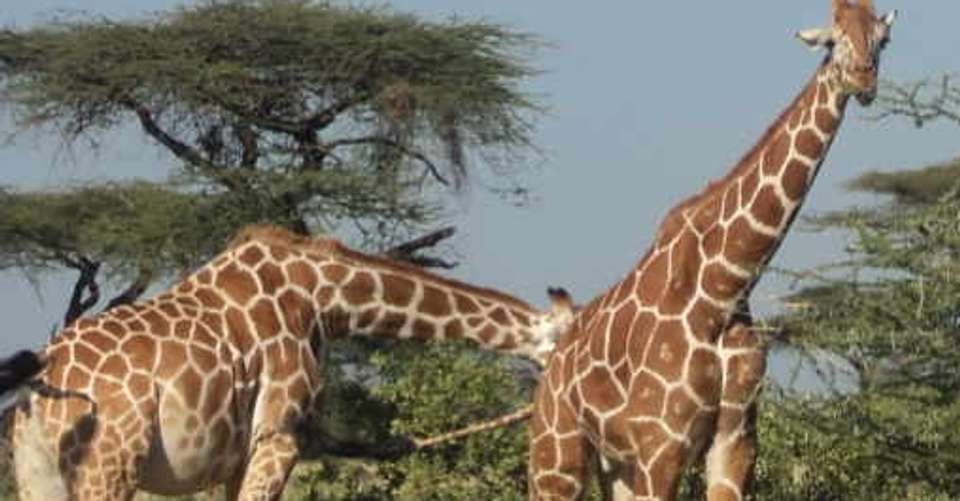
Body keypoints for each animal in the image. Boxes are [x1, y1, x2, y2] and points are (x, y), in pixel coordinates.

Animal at [9, 224, 576, 501]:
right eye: (563, 347)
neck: (326, 299)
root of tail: (43, 381)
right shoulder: (280, 437)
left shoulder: (239, 456)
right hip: (109, 463)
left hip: (37, 470)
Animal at [528, 1, 896, 500]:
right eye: (832, 40)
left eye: (882, 40)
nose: (862, 80)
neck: (724, 285)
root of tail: (553, 362)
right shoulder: (662, 444)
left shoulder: (735, 439)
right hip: (556, 453)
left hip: (616, 463)